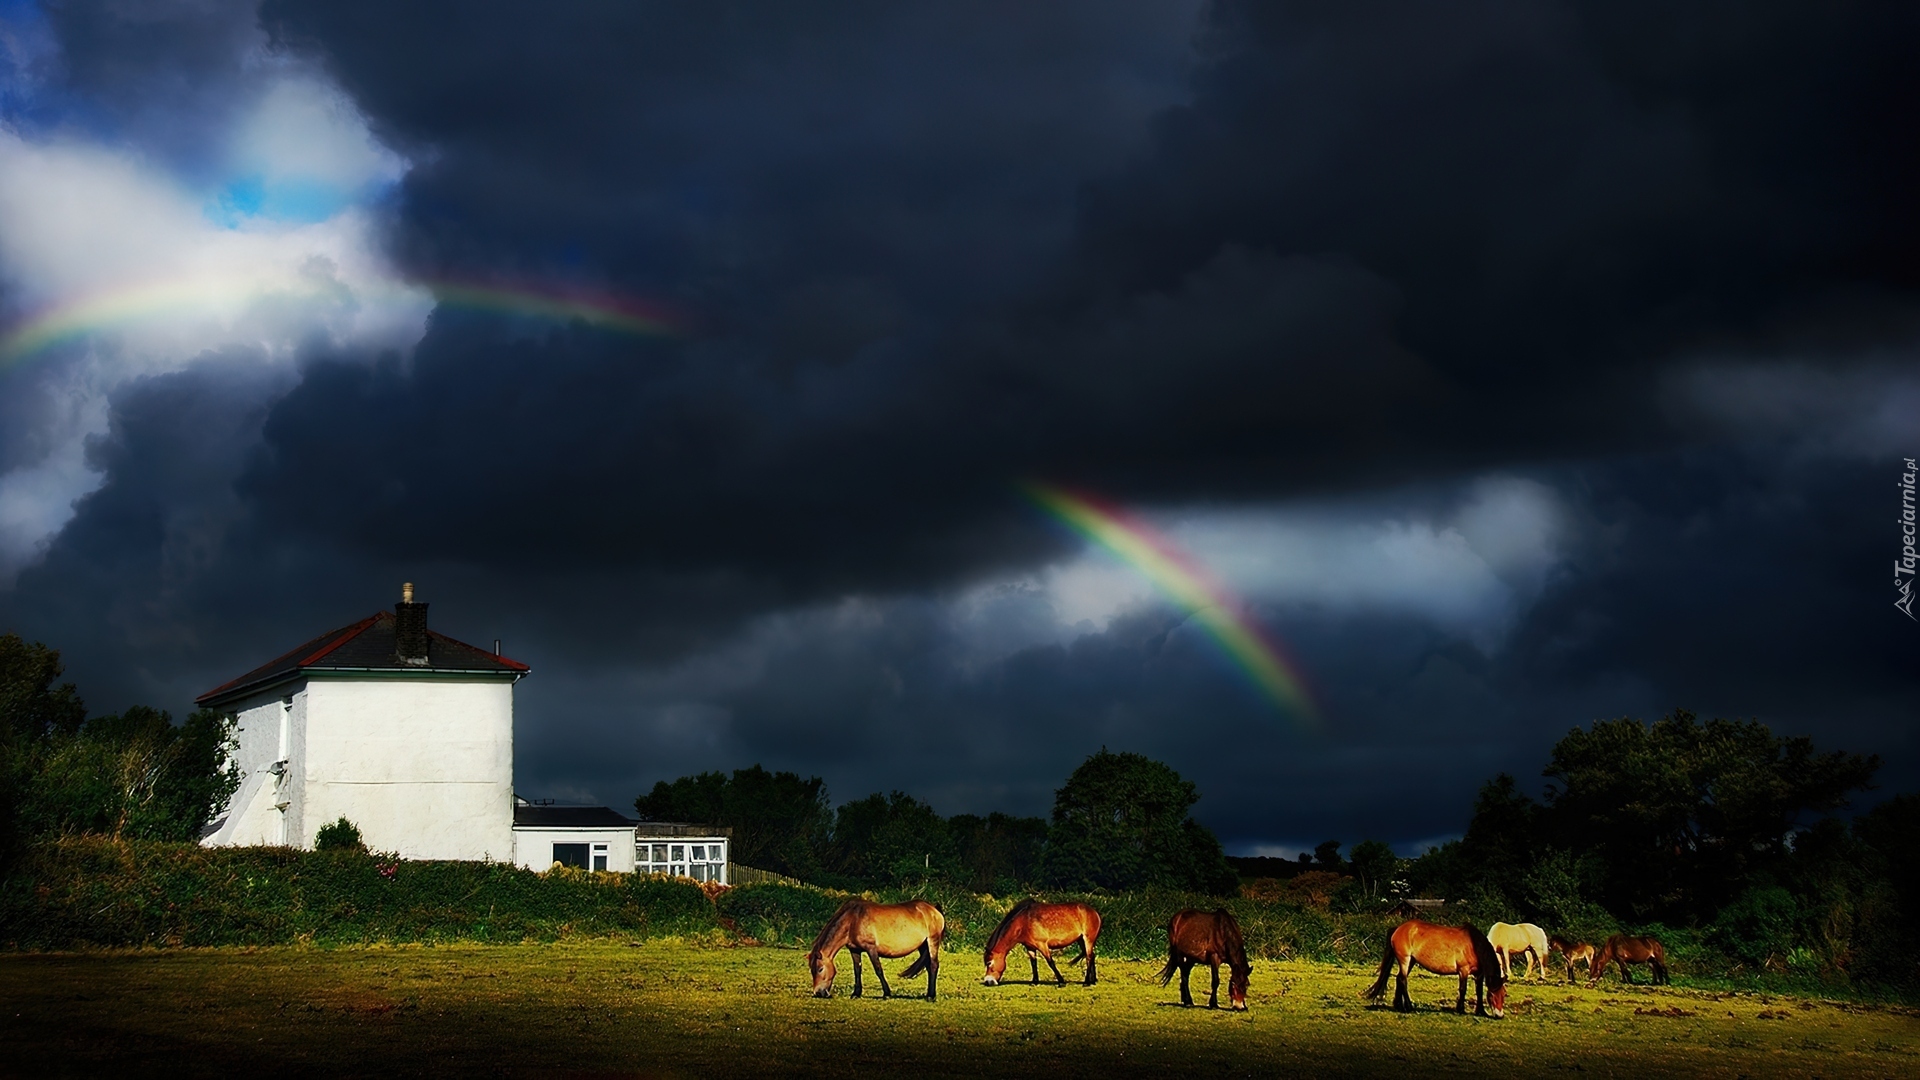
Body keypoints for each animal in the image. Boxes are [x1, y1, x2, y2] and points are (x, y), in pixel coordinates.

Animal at [802, 895, 944, 999]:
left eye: (820, 969)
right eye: (811, 969)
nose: (818, 993)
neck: (852, 919)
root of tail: (934, 909)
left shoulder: (871, 948)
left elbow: (878, 970)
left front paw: (887, 993)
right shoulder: (854, 950)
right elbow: (857, 970)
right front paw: (856, 993)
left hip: (932, 941)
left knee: (933, 965)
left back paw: (931, 996)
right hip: (923, 946)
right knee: (928, 966)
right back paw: (928, 994)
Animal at [1359, 922, 1505, 1014]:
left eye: (1503, 994)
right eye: (1492, 995)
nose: (1500, 1015)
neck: (1474, 945)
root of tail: (1398, 928)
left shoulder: (1479, 974)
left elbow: (1479, 991)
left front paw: (1481, 1011)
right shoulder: (1463, 971)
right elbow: (1463, 989)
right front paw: (1460, 1009)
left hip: (1411, 961)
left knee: (1399, 979)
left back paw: (1399, 1006)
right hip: (1405, 959)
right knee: (1402, 980)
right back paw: (1409, 1007)